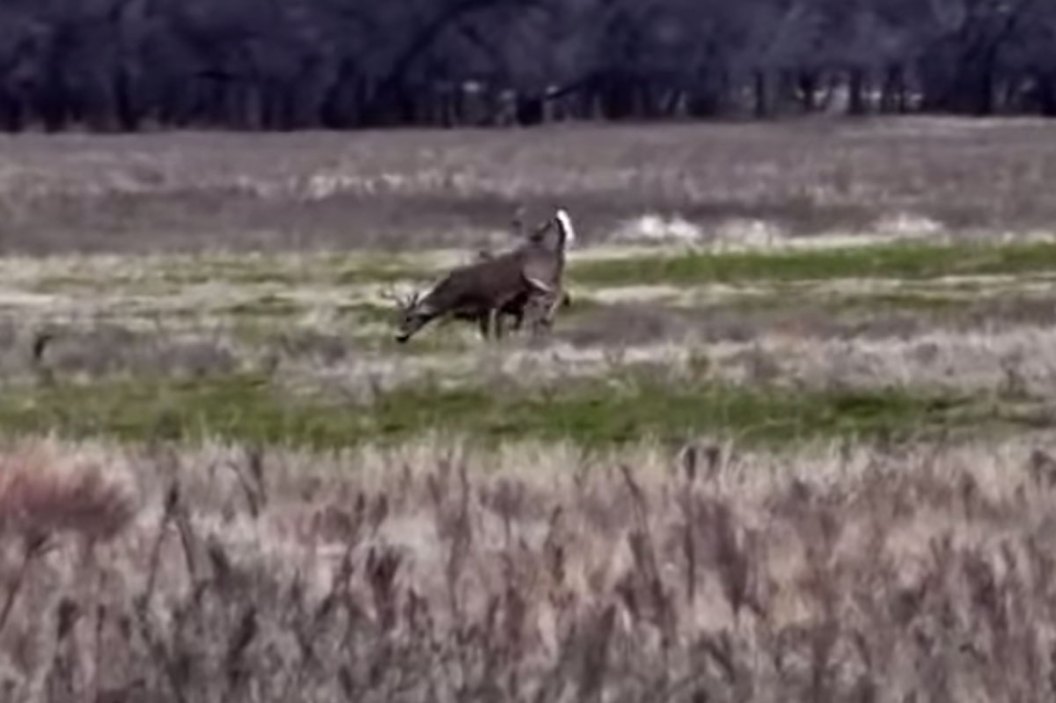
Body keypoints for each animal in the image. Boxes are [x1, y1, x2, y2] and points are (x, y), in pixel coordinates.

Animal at [388, 207, 577, 344]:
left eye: (409, 318)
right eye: (399, 318)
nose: (398, 337)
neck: (453, 296)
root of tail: (557, 252)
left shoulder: (487, 305)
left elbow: (487, 334)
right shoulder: (470, 313)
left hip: (537, 277)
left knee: (560, 294)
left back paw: (544, 321)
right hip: (547, 281)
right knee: (560, 295)